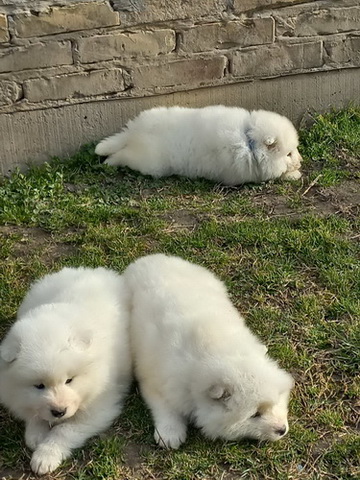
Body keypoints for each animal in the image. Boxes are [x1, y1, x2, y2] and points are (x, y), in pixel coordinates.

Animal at [0, 268, 132, 474]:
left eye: (69, 380)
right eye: (39, 386)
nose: (59, 411)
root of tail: (92, 270)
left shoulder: (100, 406)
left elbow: (64, 431)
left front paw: (45, 456)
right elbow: (34, 413)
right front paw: (36, 434)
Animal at [95, 106, 300, 185]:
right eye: (288, 154)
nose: (301, 161)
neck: (249, 144)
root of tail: (134, 131)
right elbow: (276, 174)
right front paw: (295, 174)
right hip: (149, 163)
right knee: (123, 155)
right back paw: (109, 162)